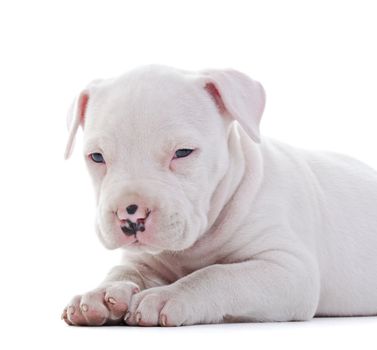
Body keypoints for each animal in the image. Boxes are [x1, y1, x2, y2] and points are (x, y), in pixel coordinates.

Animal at [61, 65, 376, 326]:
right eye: (97, 157)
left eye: (183, 152)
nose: (130, 214)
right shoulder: (143, 261)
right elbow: (124, 271)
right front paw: (100, 294)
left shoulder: (289, 269)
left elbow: (217, 274)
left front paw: (168, 295)